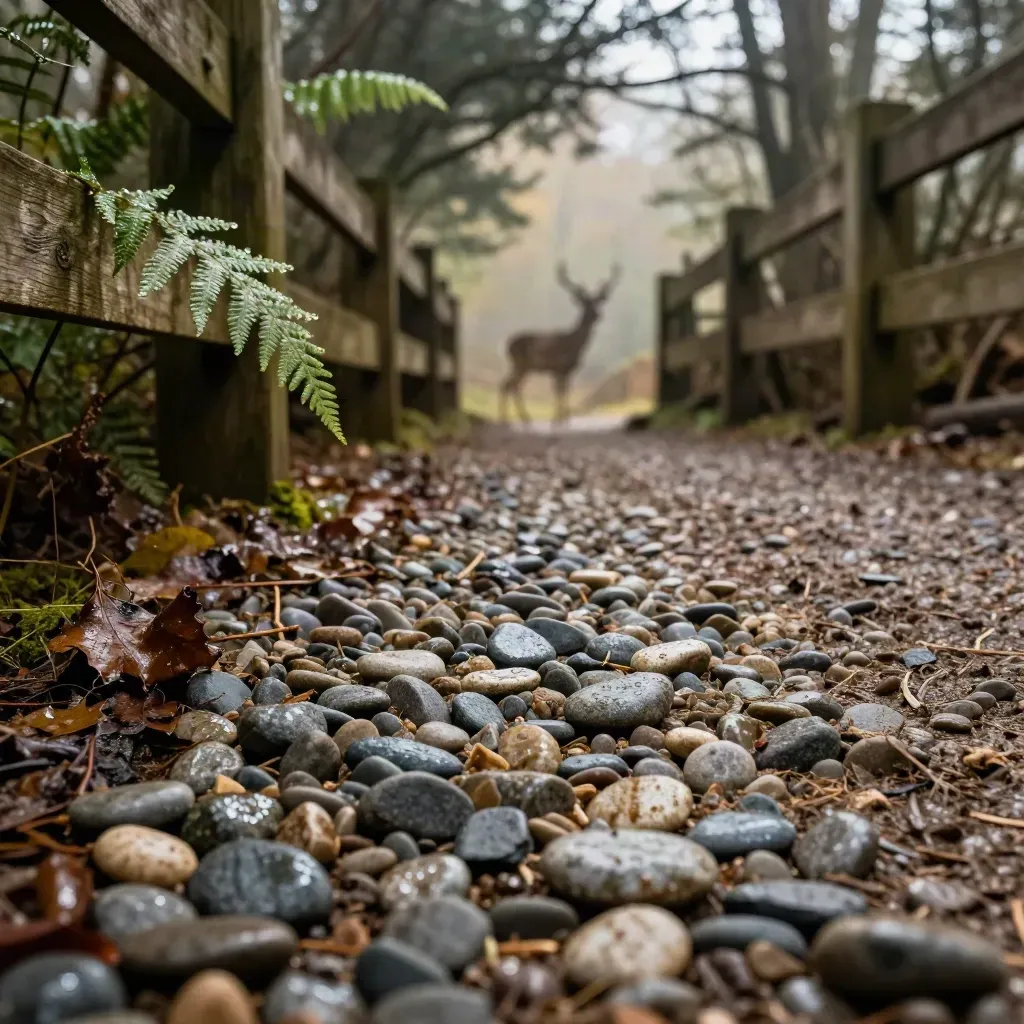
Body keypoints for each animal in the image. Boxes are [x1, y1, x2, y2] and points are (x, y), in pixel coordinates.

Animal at [500, 262, 621, 425]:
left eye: (597, 303)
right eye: (585, 304)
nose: (598, 315)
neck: (574, 344)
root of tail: (507, 345)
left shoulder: (566, 370)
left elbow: (565, 391)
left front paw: (563, 418)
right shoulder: (558, 367)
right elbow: (560, 391)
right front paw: (558, 419)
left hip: (521, 366)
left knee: (508, 384)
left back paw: (516, 419)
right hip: (521, 364)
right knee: (511, 385)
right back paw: (516, 419)